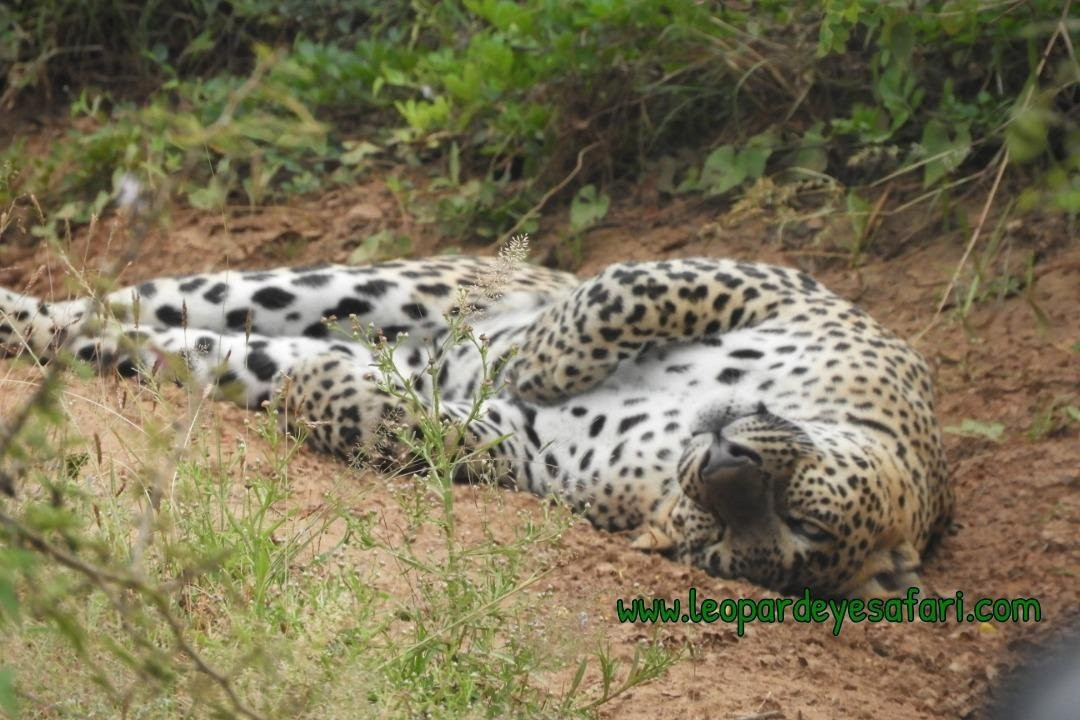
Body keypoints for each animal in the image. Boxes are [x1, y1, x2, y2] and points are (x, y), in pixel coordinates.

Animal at [0, 254, 952, 597]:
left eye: (786, 535)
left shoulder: (545, 456)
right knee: (127, 300)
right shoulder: (767, 284)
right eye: (806, 519)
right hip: (352, 285)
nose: (722, 468)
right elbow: (621, 296)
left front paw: (339, 391)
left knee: (126, 339)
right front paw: (532, 350)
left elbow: (454, 432)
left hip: (212, 348)